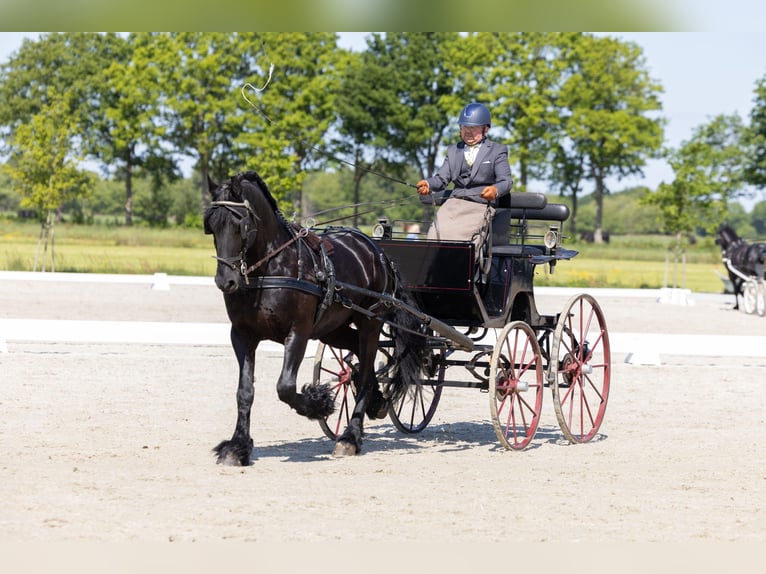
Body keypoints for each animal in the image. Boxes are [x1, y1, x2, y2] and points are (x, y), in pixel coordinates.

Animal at [204, 171, 427, 465]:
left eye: (239, 224)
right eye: (211, 226)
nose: (225, 280)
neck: (270, 268)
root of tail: (378, 252)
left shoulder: (298, 332)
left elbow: (285, 387)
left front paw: (319, 403)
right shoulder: (242, 334)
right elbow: (245, 392)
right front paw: (237, 447)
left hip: (370, 321)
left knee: (367, 370)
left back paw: (350, 437)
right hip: (333, 328)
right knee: (359, 359)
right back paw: (375, 402)